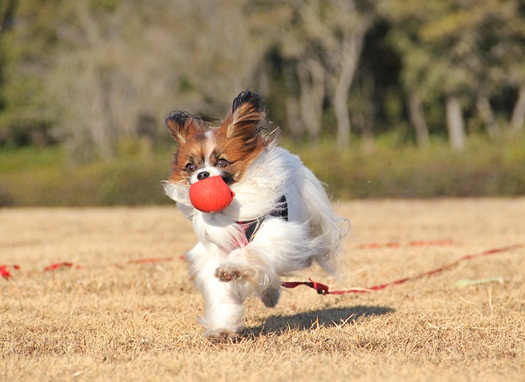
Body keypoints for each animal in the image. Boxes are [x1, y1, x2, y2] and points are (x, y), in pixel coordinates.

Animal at [162, 90, 346, 340]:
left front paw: (232, 268)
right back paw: (269, 295)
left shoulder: (276, 233)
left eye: (222, 161)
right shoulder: (215, 251)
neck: (231, 206)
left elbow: (248, 253)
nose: (202, 175)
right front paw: (222, 327)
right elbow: (221, 296)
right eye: (191, 166)